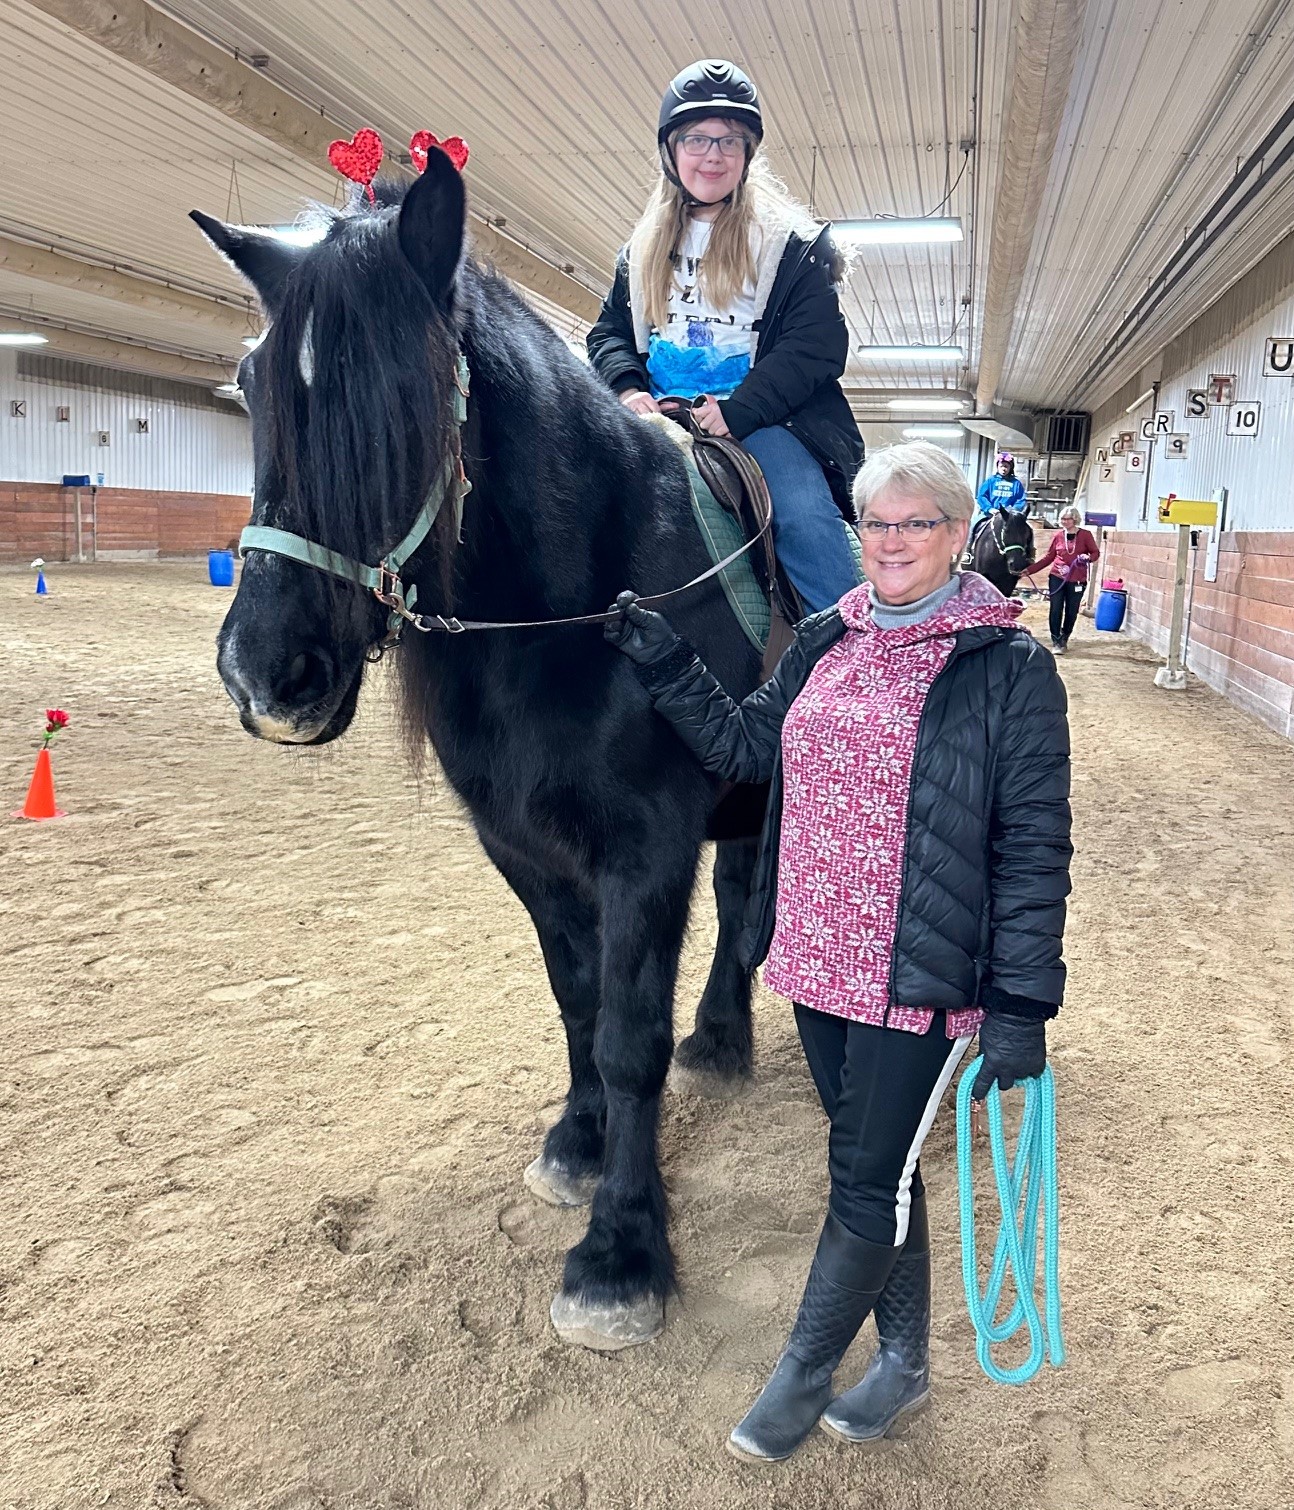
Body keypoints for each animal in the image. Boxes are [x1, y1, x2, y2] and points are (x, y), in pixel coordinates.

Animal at [192, 151, 772, 1353]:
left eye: (402, 394)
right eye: (251, 381)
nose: (265, 675)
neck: (589, 596)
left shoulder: (647, 853)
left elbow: (629, 1035)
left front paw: (620, 1255)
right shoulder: (524, 850)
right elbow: (578, 1001)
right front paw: (576, 1148)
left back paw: (720, 1039)